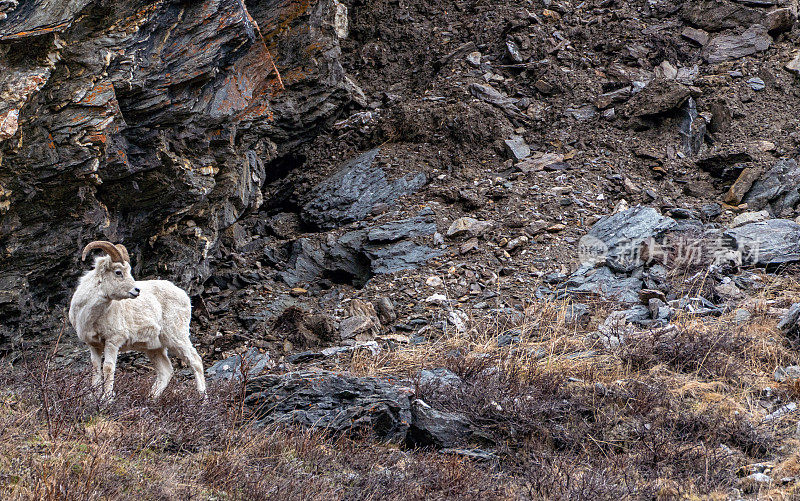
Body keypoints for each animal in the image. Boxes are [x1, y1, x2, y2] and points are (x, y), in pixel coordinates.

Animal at [69, 240, 206, 396]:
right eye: (118, 272)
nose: (137, 290)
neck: (90, 316)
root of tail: (185, 297)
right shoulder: (94, 345)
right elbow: (96, 369)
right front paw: (96, 396)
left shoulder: (112, 341)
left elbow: (108, 368)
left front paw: (107, 398)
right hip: (155, 348)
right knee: (166, 371)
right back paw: (151, 398)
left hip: (177, 337)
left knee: (196, 362)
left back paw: (203, 398)